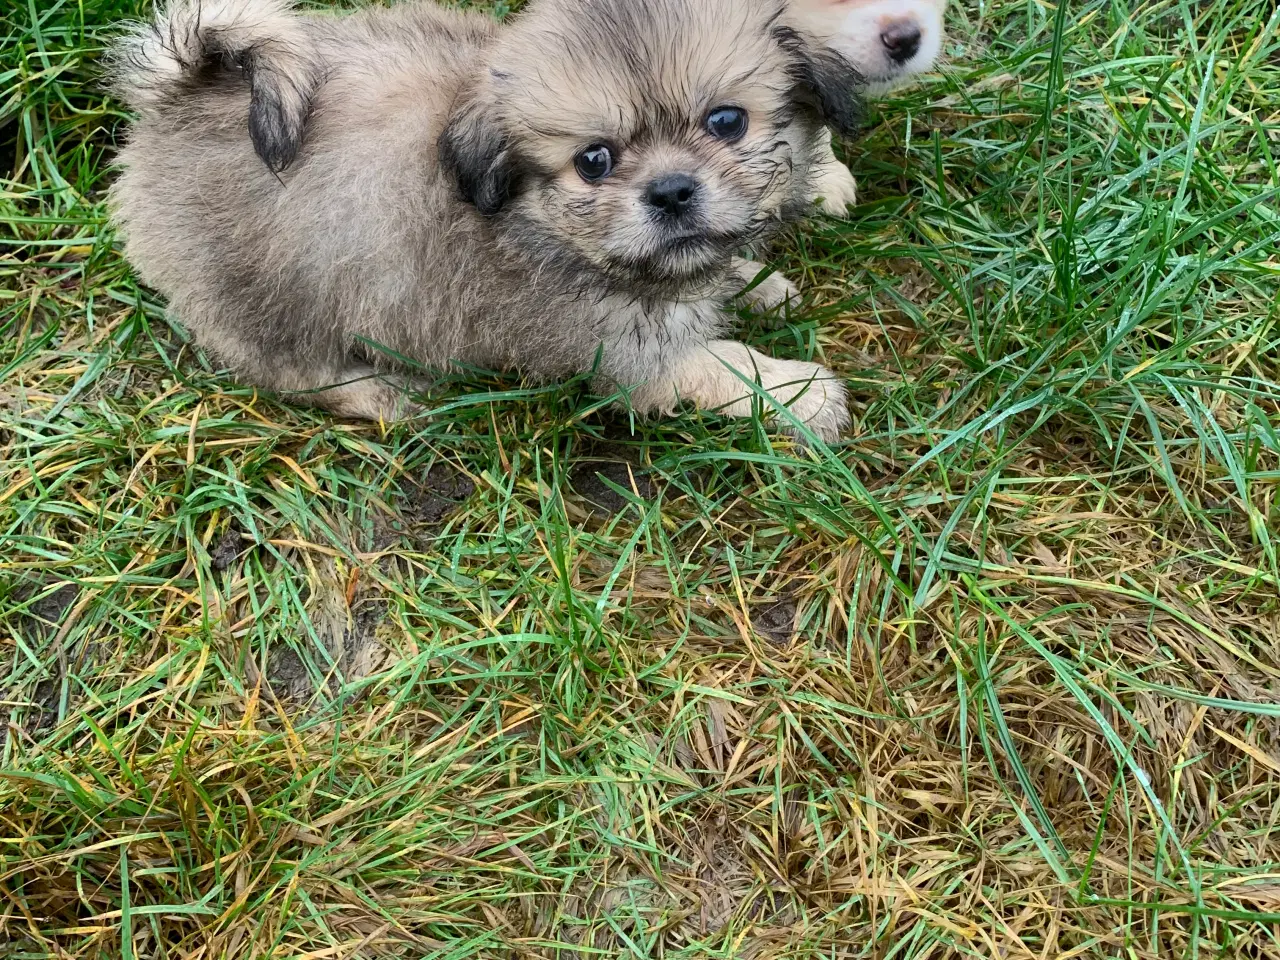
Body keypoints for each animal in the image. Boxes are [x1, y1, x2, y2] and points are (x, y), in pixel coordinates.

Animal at [110, 0, 865, 442]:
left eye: (727, 122)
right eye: (594, 160)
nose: (672, 191)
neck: (538, 222)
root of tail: (177, 100)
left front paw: (757, 283)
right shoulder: (628, 353)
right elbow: (727, 366)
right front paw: (805, 394)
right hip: (276, 298)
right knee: (295, 371)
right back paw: (381, 394)